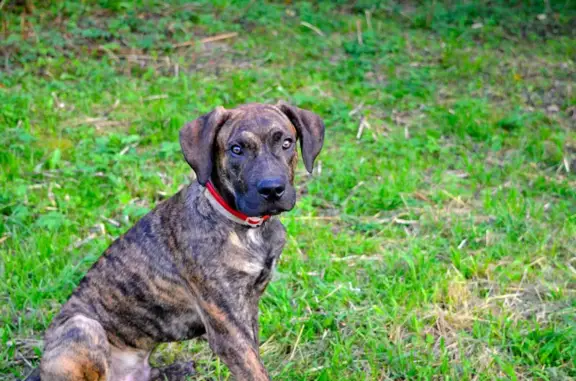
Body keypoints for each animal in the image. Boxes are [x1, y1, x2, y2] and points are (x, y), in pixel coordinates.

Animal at [24, 101, 324, 380]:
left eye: (286, 143)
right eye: (236, 149)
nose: (272, 189)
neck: (244, 228)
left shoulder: (248, 309)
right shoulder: (227, 329)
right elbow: (254, 370)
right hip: (83, 328)